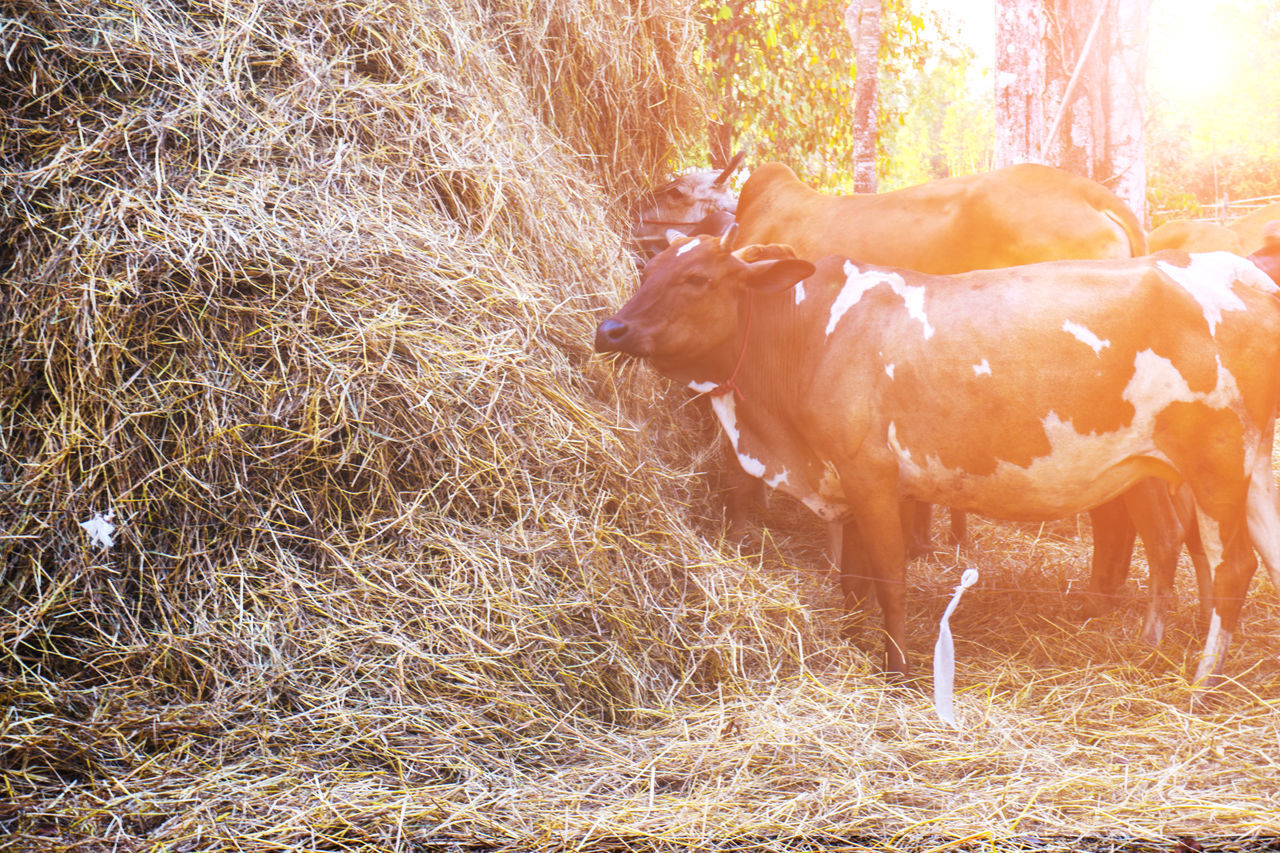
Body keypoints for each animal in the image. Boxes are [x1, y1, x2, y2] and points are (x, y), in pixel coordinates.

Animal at [593, 230, 1280, 686]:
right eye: (647, 270)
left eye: (697, 279)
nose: (609, 329)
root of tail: (1242, 270)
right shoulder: (851, 483)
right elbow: (853, 581)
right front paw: (854, 642)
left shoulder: (870, 475)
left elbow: (890, 580)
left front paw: (898, 668)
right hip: (1227, 472)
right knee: (1227, 550)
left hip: (1215, 465)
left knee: (1231, 566)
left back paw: (1202, 680)